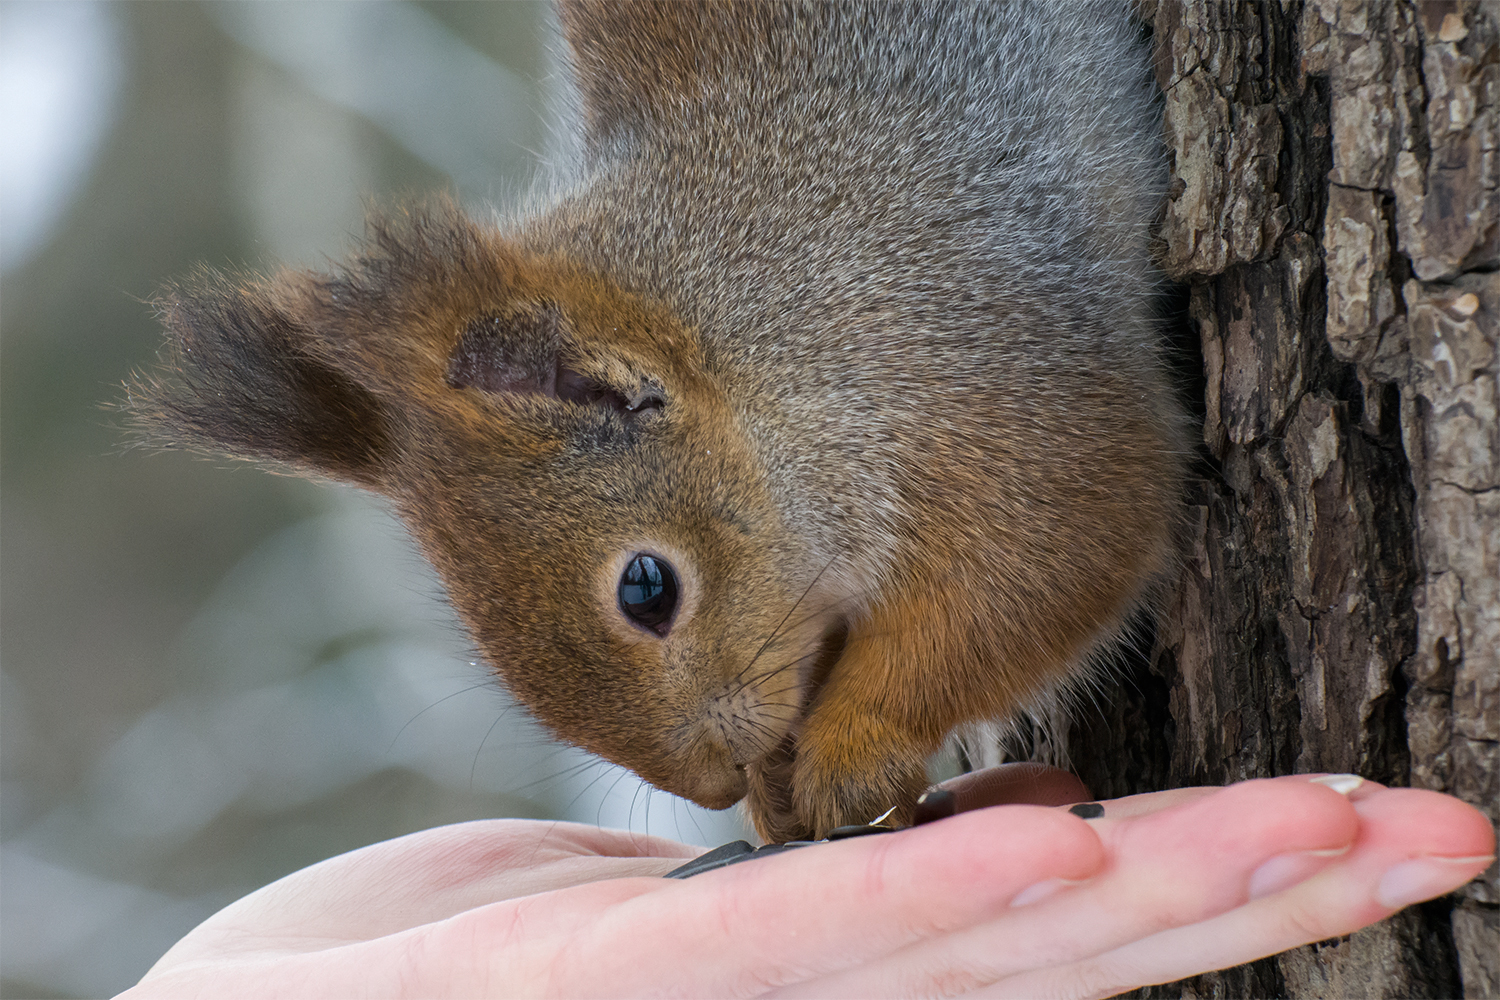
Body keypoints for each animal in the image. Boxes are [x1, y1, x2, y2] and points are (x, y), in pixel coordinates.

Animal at [126, 1, 1182, 845]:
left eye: (646, 588)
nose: (711, 786)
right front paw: (775, 791)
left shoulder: (1000, 379)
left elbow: (1033, 572)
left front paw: (852, 749)